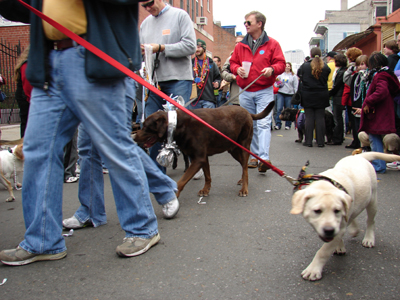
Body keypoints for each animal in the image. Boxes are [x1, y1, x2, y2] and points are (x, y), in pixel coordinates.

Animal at [135, 102, 276, 198]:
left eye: (146, 127)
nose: (134, 137)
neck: (178, 125)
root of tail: (246, 111)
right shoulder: (203, 158)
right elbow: (207, 175)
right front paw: (206, 189)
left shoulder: (198, 159)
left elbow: (181, 181)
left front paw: (174, 195)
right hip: (233, 150)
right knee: (243, 165)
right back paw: (242, 181)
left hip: (243, 146)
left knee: (245, 168)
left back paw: (244, 188)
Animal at [290, 152, 400, 282]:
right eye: (317, 211)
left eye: (336, 210)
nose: (329, 230)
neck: (326, 185)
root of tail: (359, 156)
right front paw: (340, 246)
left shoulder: (339, 226)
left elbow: (323, 251)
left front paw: (313, 269)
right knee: (352, 215)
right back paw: (354, 229)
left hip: (372, 200)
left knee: (370, 221)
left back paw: (369, 238)